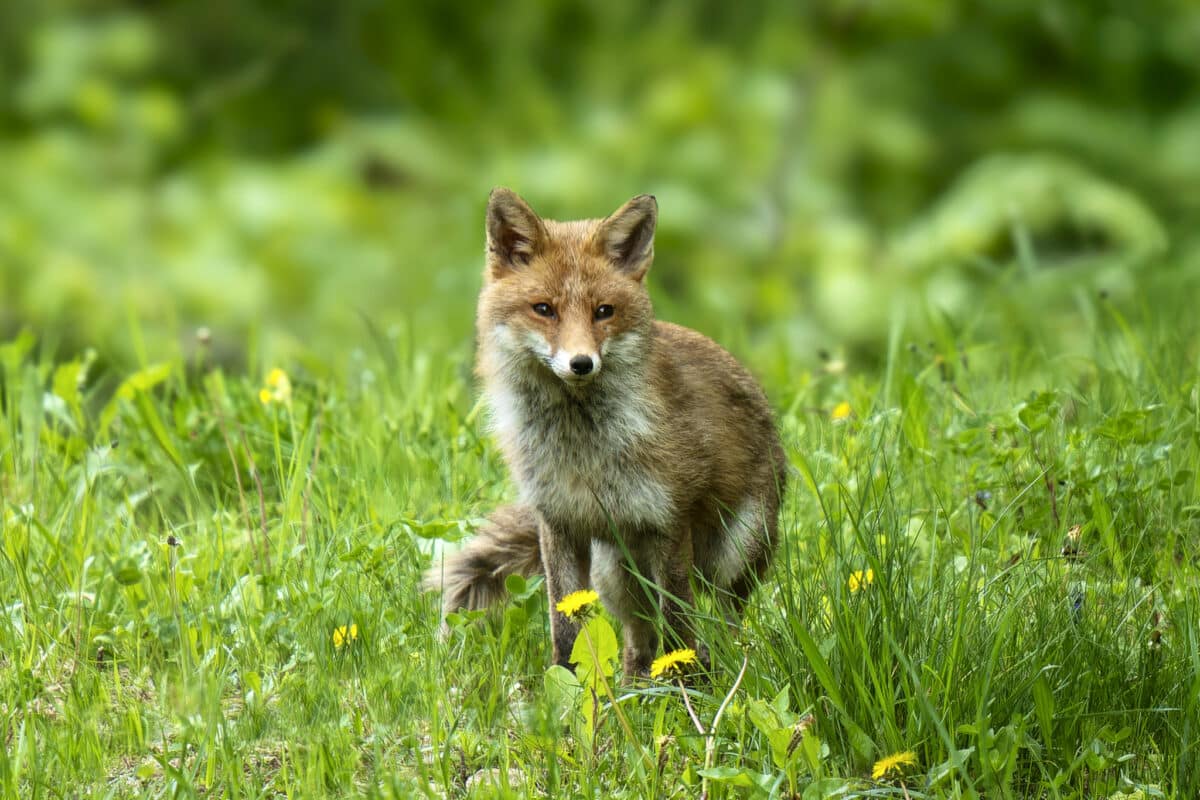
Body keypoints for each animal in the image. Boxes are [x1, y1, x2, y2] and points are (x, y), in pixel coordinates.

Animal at [425, 188, 787, 677]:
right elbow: (564, 627)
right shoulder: (557, 523)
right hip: (615, 573)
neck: (582, 451)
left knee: (723, 620)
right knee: (638, 640)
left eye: (604, 312)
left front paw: (687, 684)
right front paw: (567, 684)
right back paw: (637, 685)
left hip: (730, 558)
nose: (581, 363)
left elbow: (679, 624)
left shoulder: (668, 522)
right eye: (544, 309)